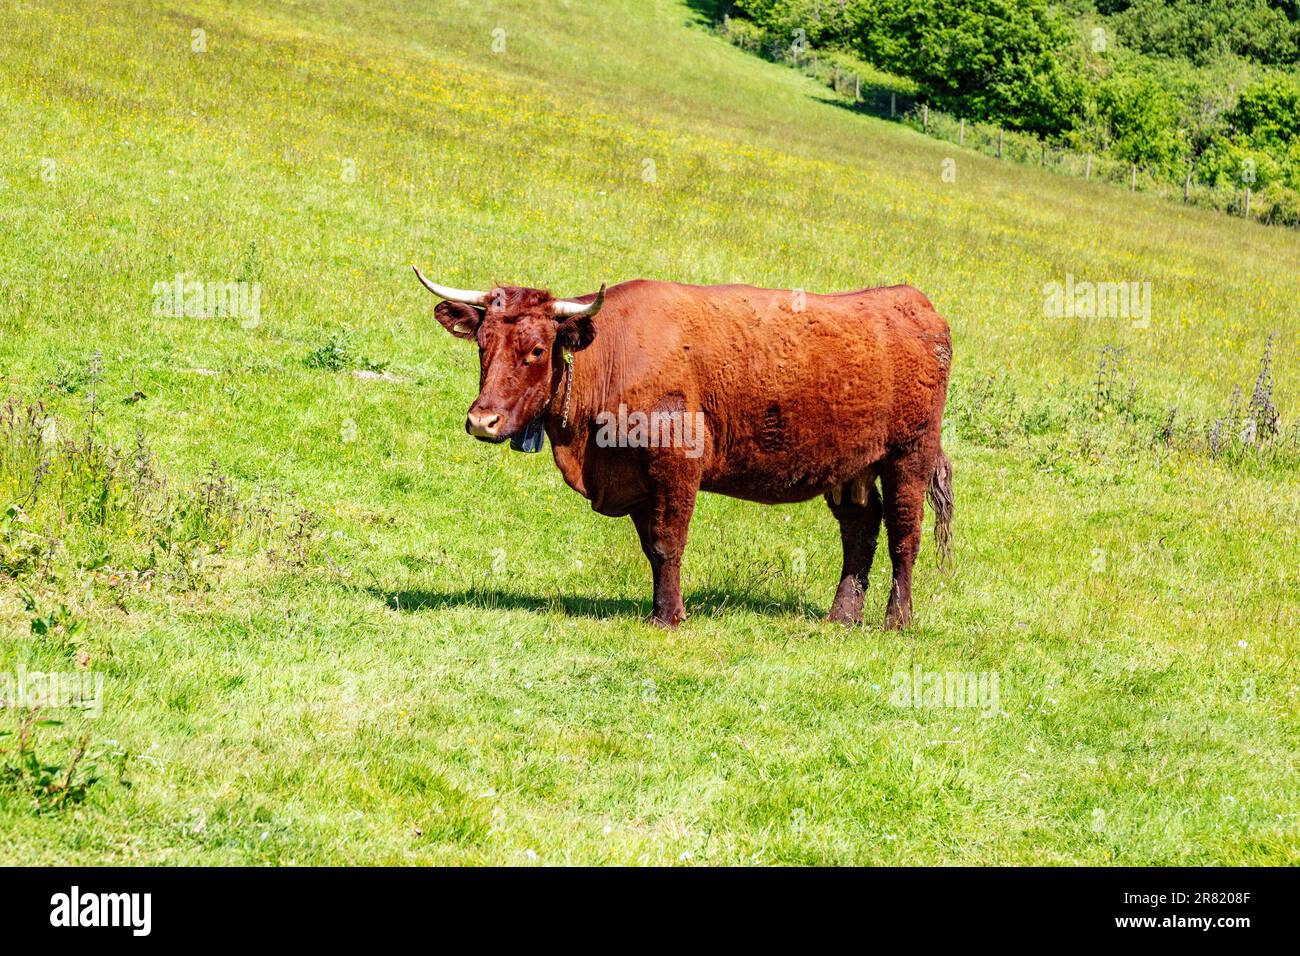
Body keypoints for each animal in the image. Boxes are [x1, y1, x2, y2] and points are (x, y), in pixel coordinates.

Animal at [414, 267, 953, 630]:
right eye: (482, 344)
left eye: (537, 350)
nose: (482, 420)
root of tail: (913, 302)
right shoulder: (633, 478)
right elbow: (652, 547)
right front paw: (659, 609)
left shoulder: (676, 468)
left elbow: (668, 541)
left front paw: (670, 616)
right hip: (851, 466)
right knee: (860, 529)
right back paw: (842, 616)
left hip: (910, 453)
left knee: (904, 534)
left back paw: (897, 620)